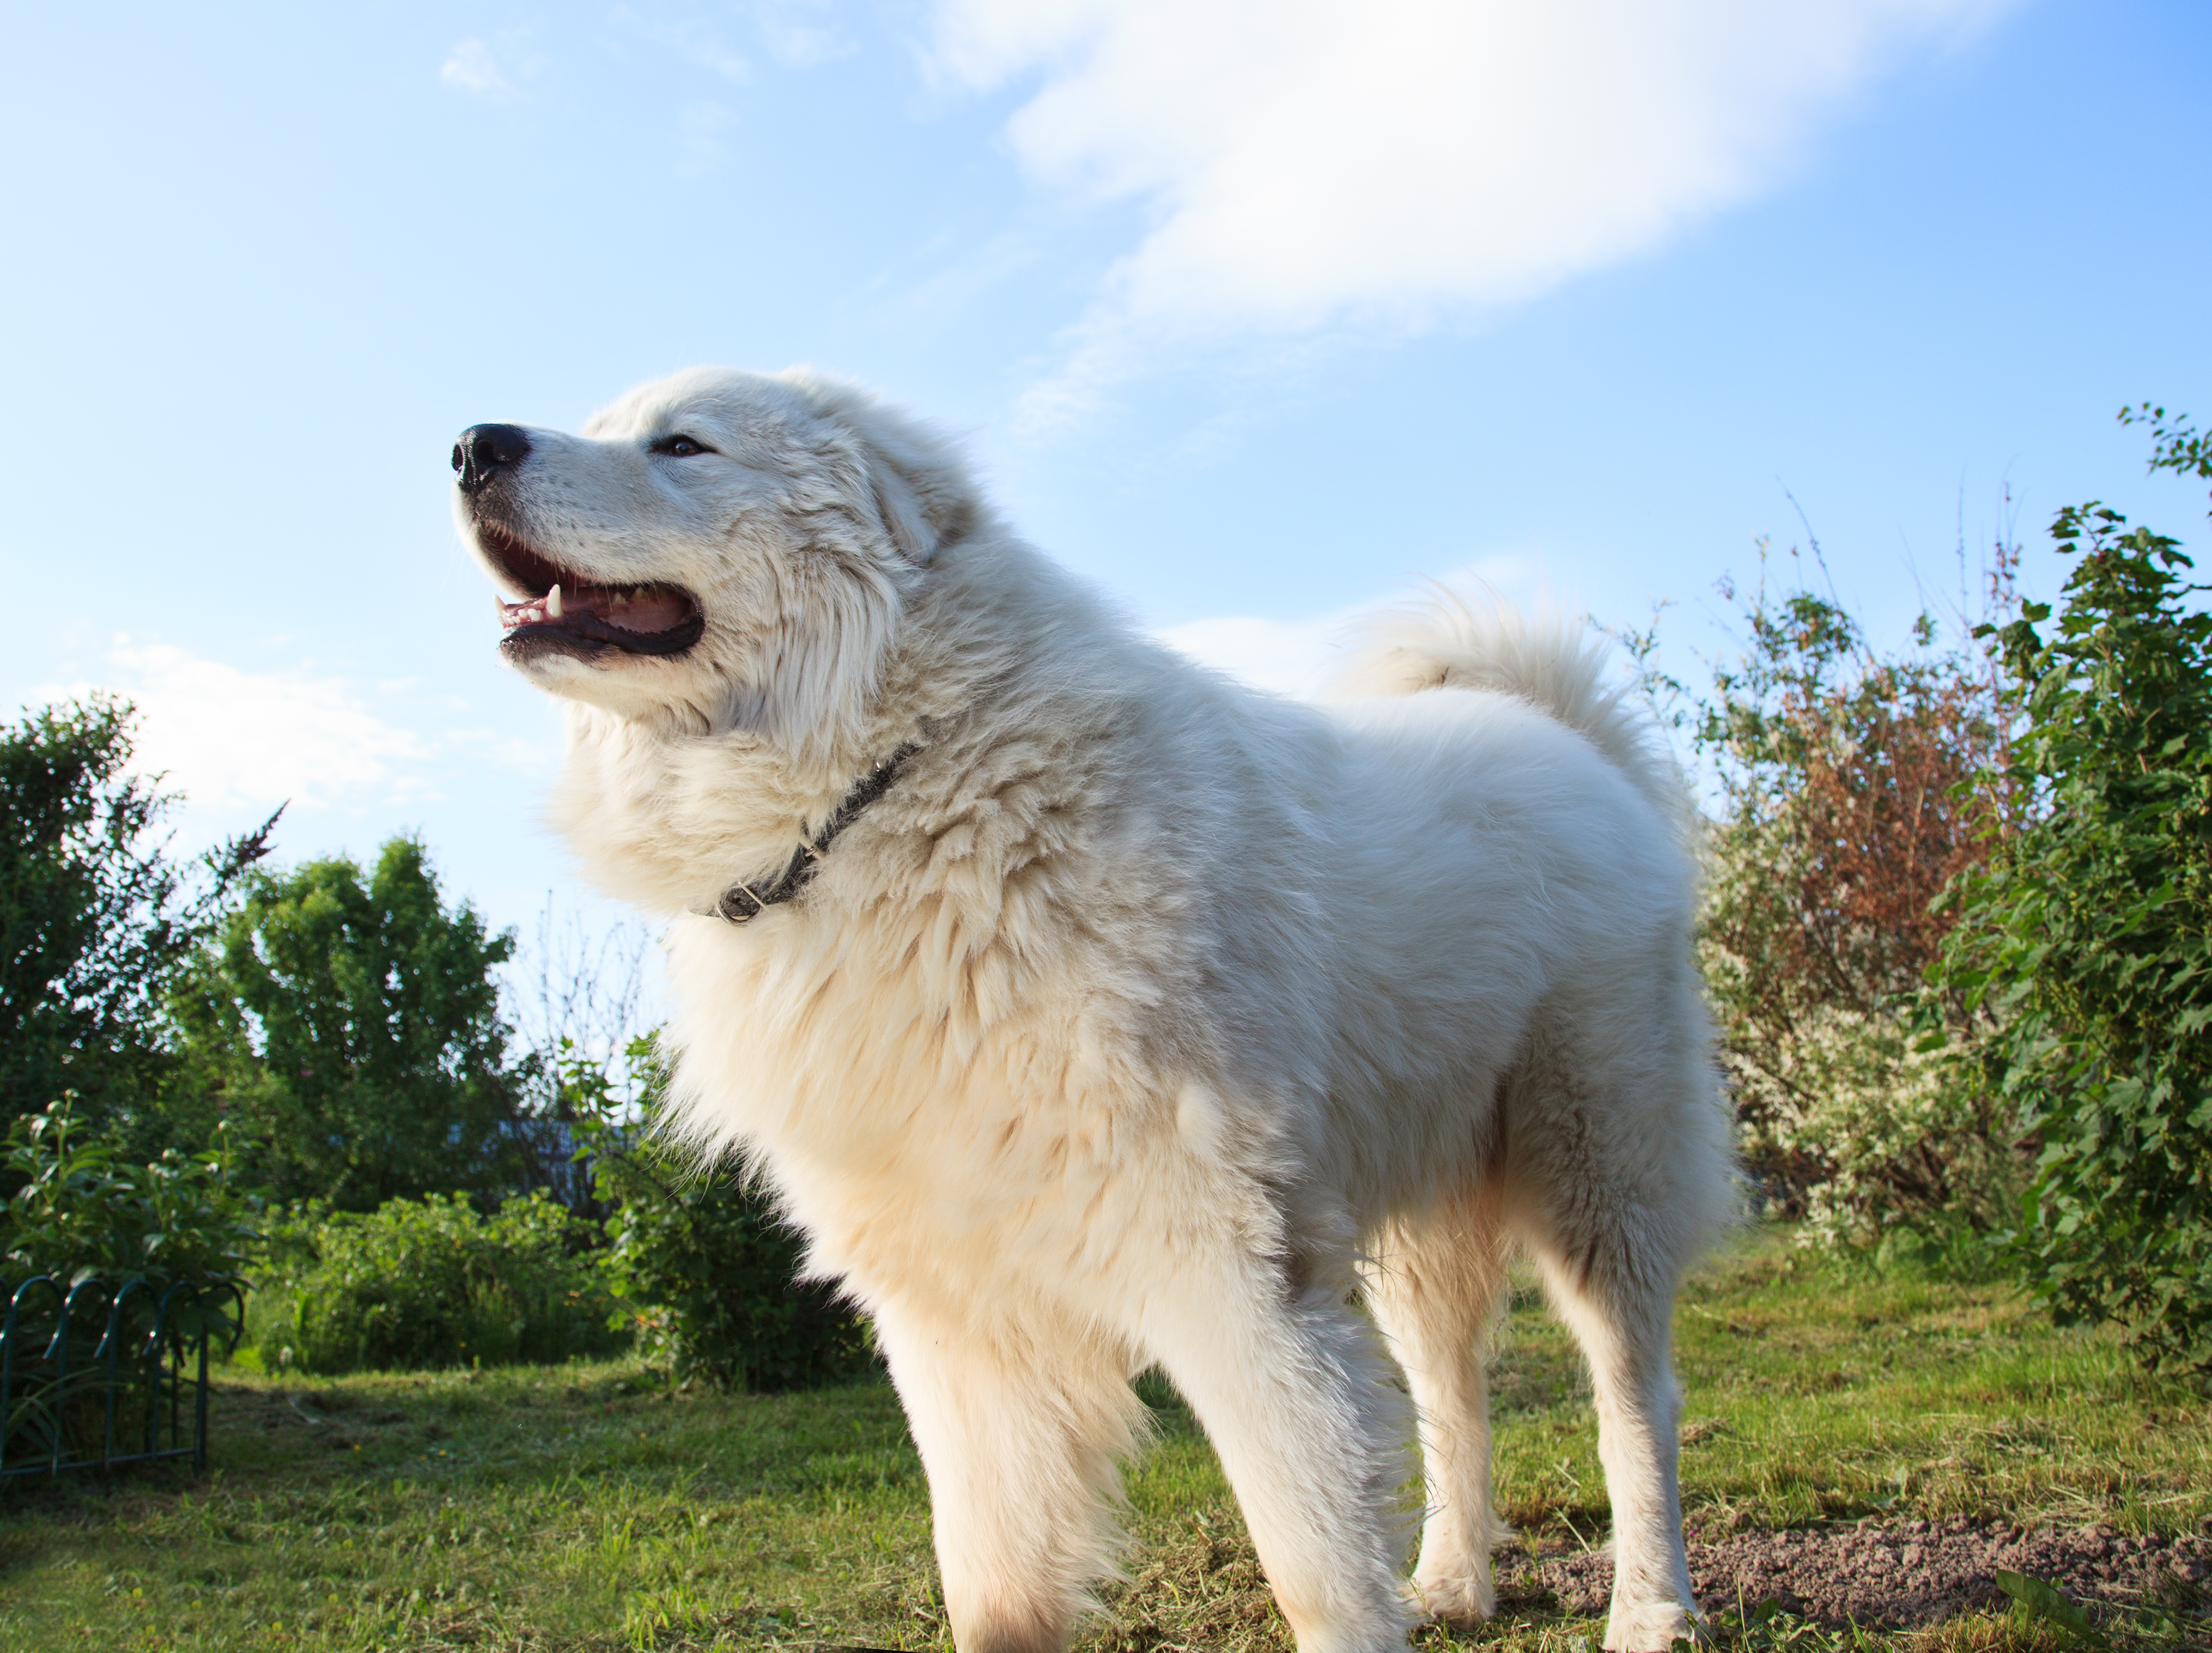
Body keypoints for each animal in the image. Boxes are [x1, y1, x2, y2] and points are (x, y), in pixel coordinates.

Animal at [449, 370, 1725, 1653]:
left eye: (683, 446)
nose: (468, 445)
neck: (895, 790)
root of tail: (1565, 738)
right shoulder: (954, 1319)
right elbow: (991, 1586)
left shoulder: (1231, 1270)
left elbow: (1312, 1556)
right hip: (1417, 1226)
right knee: (1453, 1397)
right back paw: (1455, 1583)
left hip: (1595, 1178)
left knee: (1636, 1402)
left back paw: (1650, 1607)